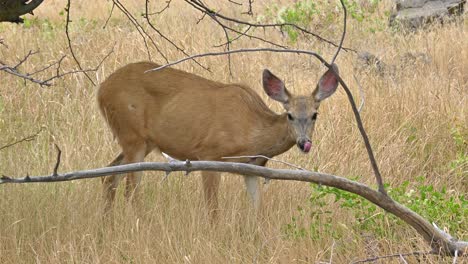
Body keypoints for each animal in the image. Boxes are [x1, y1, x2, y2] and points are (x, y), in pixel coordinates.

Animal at [98, 60, 338, 218]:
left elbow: (258, 210)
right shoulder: (209, 153)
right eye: (290, 115)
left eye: (315, 114)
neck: (253, 133)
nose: (304, 143)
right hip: (132, 134)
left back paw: (107, 226)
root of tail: (101, 91)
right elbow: (213, 209)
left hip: (140, 141)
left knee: (110, 176)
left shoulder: (252, 168)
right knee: (130, 190)